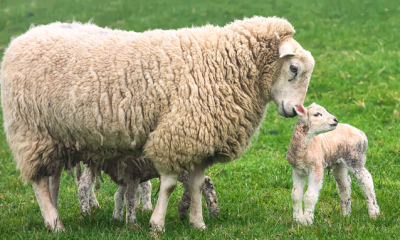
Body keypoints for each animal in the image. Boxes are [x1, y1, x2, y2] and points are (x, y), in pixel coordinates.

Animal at [0, 15, 316, 232]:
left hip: (55, 134)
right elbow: (169, 185)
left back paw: (52, 219)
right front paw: (157, 223)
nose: (293, 111)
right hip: (30, 131)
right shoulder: (177, 135)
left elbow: (197, 183)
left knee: (51, 178)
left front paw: (197, 223)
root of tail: (22, 38)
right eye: (293, 68)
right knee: (39, 181)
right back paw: (55, 223)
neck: (223, 64)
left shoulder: (199, 139)